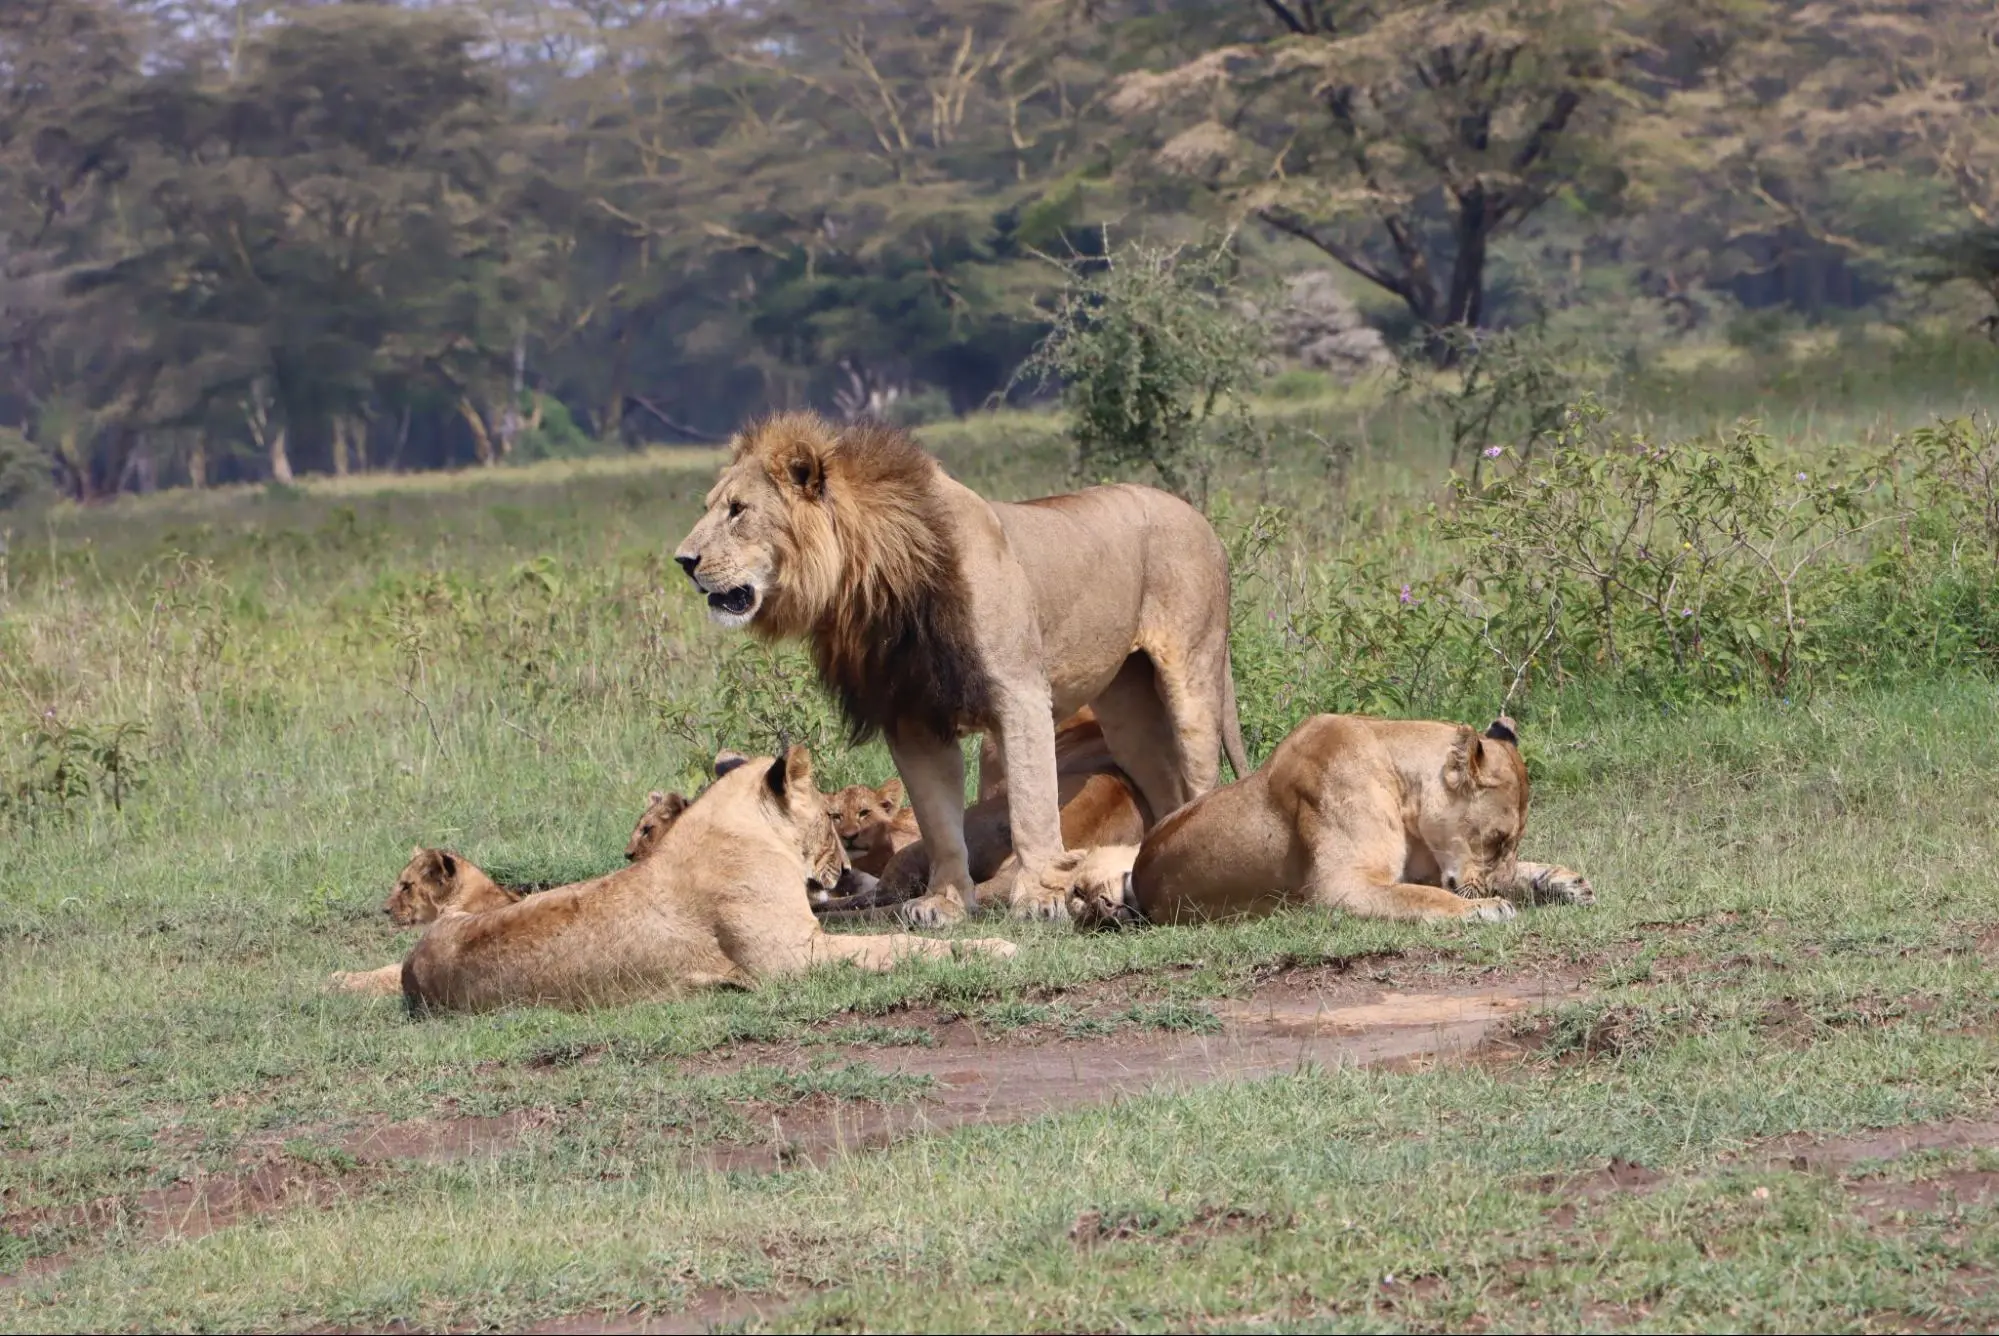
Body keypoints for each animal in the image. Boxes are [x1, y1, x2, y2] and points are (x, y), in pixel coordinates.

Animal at [395, 748, 1015, 1016]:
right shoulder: (796, 959)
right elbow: (899, 946)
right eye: (828, 816)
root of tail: (410, 969)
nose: (845, 870)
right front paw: (994, 946)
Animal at [675, 412, 1247, 924]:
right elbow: (940, 824)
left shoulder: (1020, 694)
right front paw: (945, 904)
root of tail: (1200, 518)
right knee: (1162, 783)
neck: (872, 585)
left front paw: (1039, 898)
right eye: (708, 507)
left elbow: (1031, 806)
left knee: (1198, 775)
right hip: (1128, 708)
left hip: (1193, 675)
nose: (683, 561)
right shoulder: (912, 718)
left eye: (738, 510)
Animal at [1047, 720, 1591, 928]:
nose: (1091, 908)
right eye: (1496, 840)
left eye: (1509, 844)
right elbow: (1423, 897)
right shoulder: (1340, 887)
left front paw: (1561, 880)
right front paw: (1487, 906)